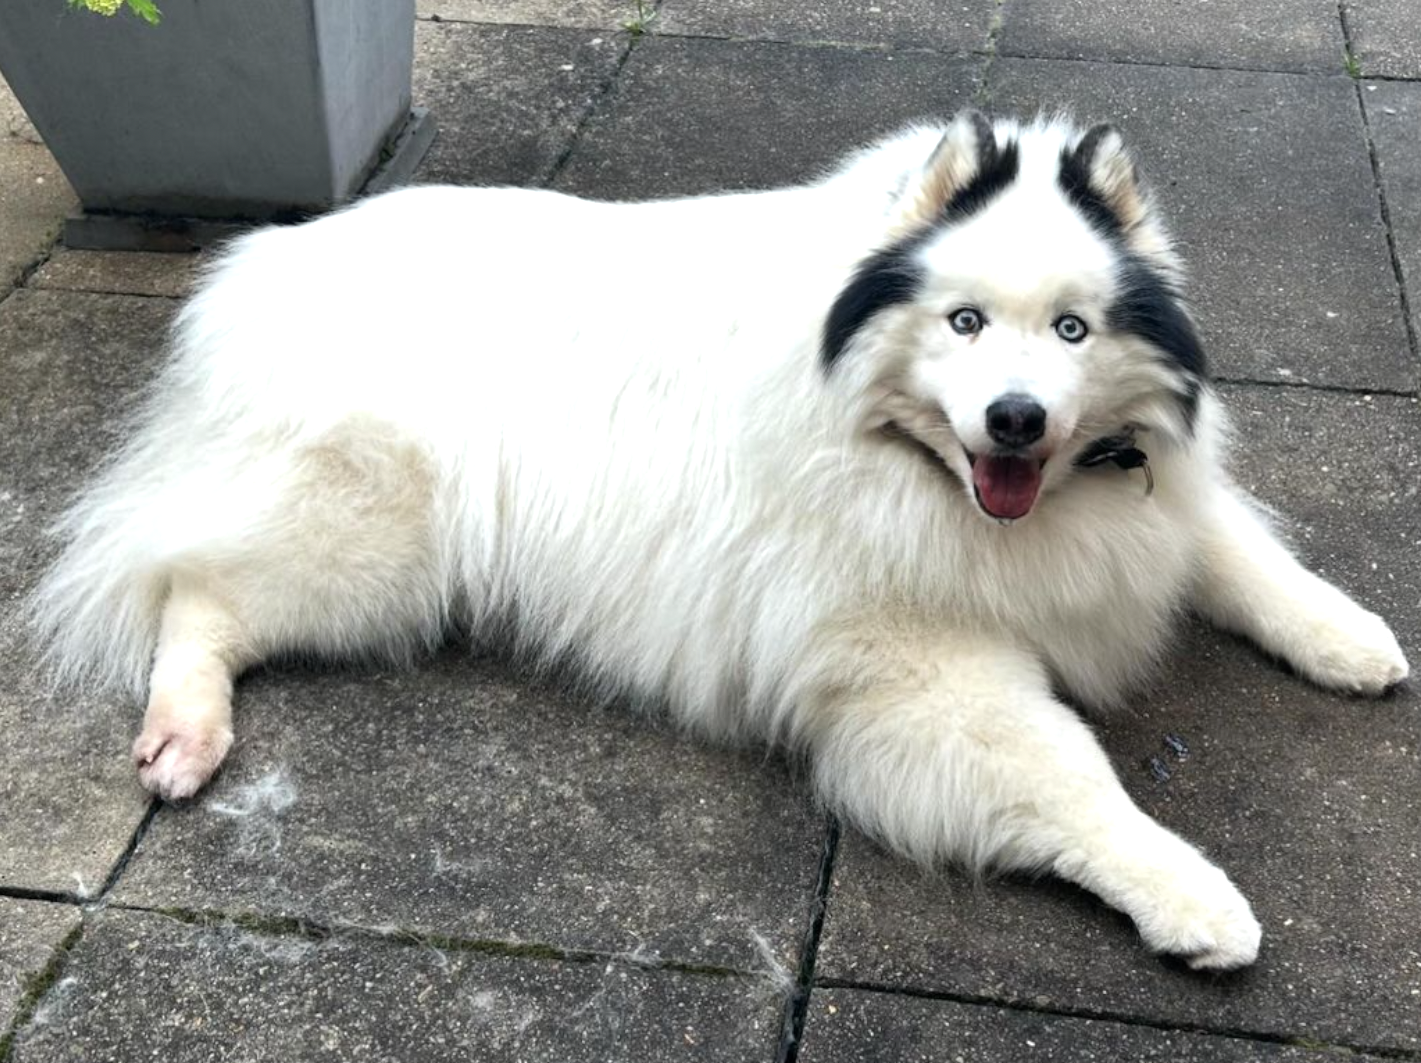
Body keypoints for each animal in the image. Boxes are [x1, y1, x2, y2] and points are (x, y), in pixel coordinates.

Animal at [27, 114, 1403, 972]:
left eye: (1071, 330)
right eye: (962, 321)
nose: (1014, 418)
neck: (911, 459)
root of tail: (256, 261)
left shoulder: (1155, 504)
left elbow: (1243, 557)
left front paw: (1348, 637)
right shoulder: (924, 674)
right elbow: (1077, 781)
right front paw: (1193, 897)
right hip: (372, 542)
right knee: (194, 585)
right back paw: (182, 732)